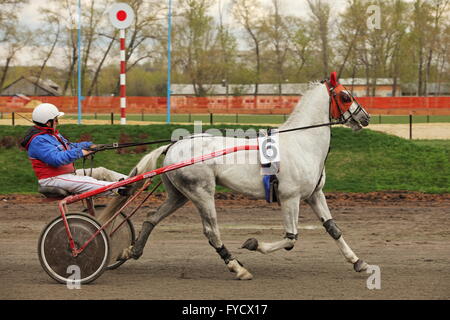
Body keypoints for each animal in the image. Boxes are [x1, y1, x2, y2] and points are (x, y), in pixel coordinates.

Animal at [103, 72, 370, 280]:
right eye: (345, 96)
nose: (365, 117)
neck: (301, 142)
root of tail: (173, 145)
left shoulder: (315, 194)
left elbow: (333, 229)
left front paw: (358, 262)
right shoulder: (290, 197)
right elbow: (291, 238)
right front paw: (254, 244)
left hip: (179, 195)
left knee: (151, 218)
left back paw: (131, 251)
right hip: (201, 193)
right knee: (212, 232)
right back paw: (236, 267)